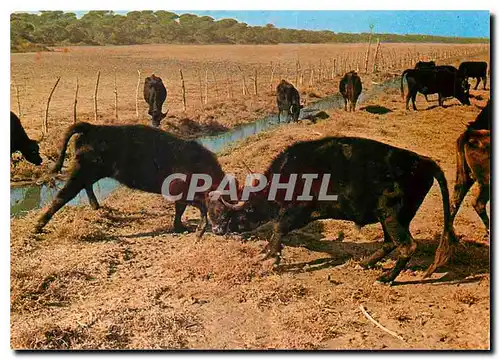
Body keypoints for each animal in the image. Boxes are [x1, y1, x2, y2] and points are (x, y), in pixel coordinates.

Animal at [206, 137, 458, 284]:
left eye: (221, 213)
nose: (216, 230)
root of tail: (423, 161)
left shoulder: (297, 213)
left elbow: (278, 229)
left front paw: (270, 256)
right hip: (391, 219)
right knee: (390, 243)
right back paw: (364, 264)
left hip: (391, 217)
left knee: (407, 245)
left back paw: (385, 277)